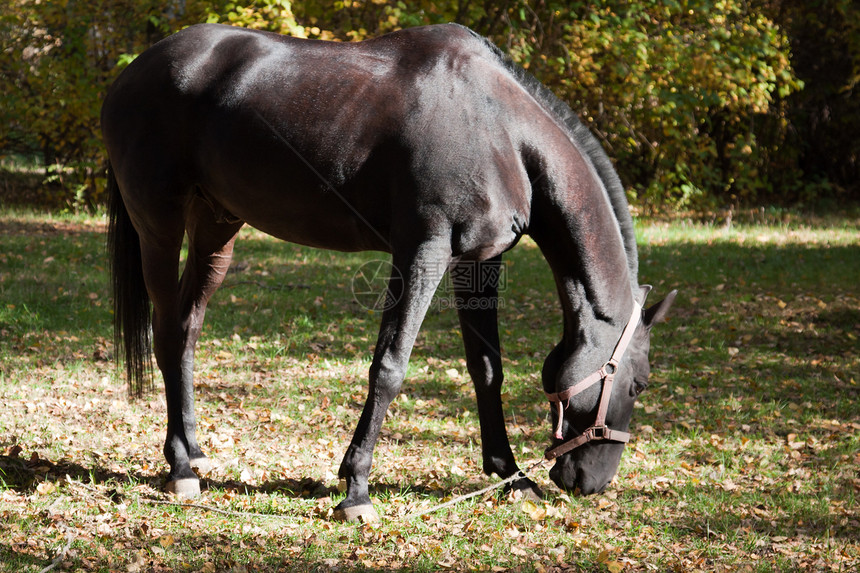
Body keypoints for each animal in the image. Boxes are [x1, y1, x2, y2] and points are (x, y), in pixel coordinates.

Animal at [104, 22, 676, 520]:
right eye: (638, 385)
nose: (591, 482)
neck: (499, 130)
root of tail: (132, 72)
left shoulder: (479, 265)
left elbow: (487, 370)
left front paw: (511, 476)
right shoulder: (422, 252)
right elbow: (389, 368)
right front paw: (356, 489)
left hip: (216, 229)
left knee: (187, 328)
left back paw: (195, 448)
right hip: (159, 228)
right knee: (166, 332)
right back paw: (180, 466)